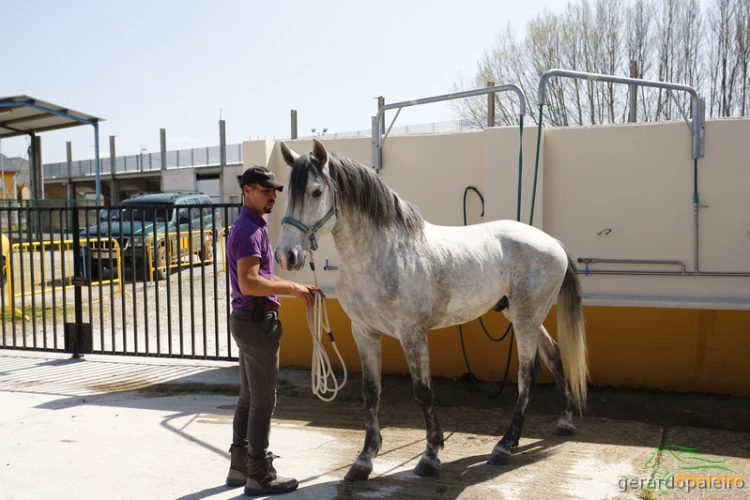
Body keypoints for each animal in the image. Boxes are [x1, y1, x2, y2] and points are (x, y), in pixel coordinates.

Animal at [274, 139, 592, 482]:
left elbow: (423, 391)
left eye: (316, 191)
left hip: (526, 316)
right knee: (554, 355)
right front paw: (364, 459)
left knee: (527, 373)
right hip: (519, 314)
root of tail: (552, 242)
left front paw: (430, 456)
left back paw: (505, 446)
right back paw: (564, 422)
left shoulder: (412, 333)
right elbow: (371, 391)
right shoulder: (364, 331)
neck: (381, 254)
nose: (286, 256)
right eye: (287, 193)